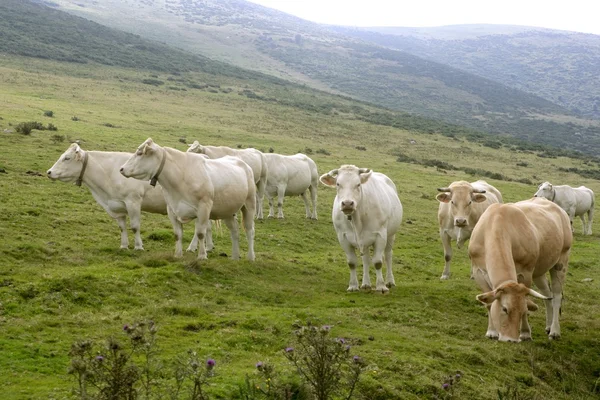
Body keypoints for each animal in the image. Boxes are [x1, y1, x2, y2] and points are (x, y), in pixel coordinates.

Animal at [119, 139, 255, 260]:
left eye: (140, 153)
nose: (121, 169)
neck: (181, 177)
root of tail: (244, 164)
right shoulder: (172, 209)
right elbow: (177, 234)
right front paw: (178, 254)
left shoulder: (204, 208)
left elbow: (200, 233)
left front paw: (202, 256)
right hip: (227, 210)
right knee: (234, 231)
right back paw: (235, 257)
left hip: (249, 204)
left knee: (249, 230)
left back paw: (251, 257)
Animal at [318, 164, 404, 292]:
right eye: (338, 184)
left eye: (358, 184)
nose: (347, 203)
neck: (357, 219)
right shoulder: (343, 237)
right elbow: (352, 263)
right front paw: (353, 286)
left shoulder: (380, 235)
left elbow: (378, 262)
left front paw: (381, 286)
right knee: (366, 259)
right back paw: (366, 283)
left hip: (390, 235)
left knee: (388, 256)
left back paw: (390, 281)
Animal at [468, 198, 572, 342]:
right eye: (504, 309)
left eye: (522, 311)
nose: (510, 339)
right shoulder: (478, 271)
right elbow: (489, 303)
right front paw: (491, 331)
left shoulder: (525, 272)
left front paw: (525, 333)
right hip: (539, 271)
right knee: (547, 294)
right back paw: (548, 325)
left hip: (561, 261)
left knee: (556, 296)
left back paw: (554, 330)